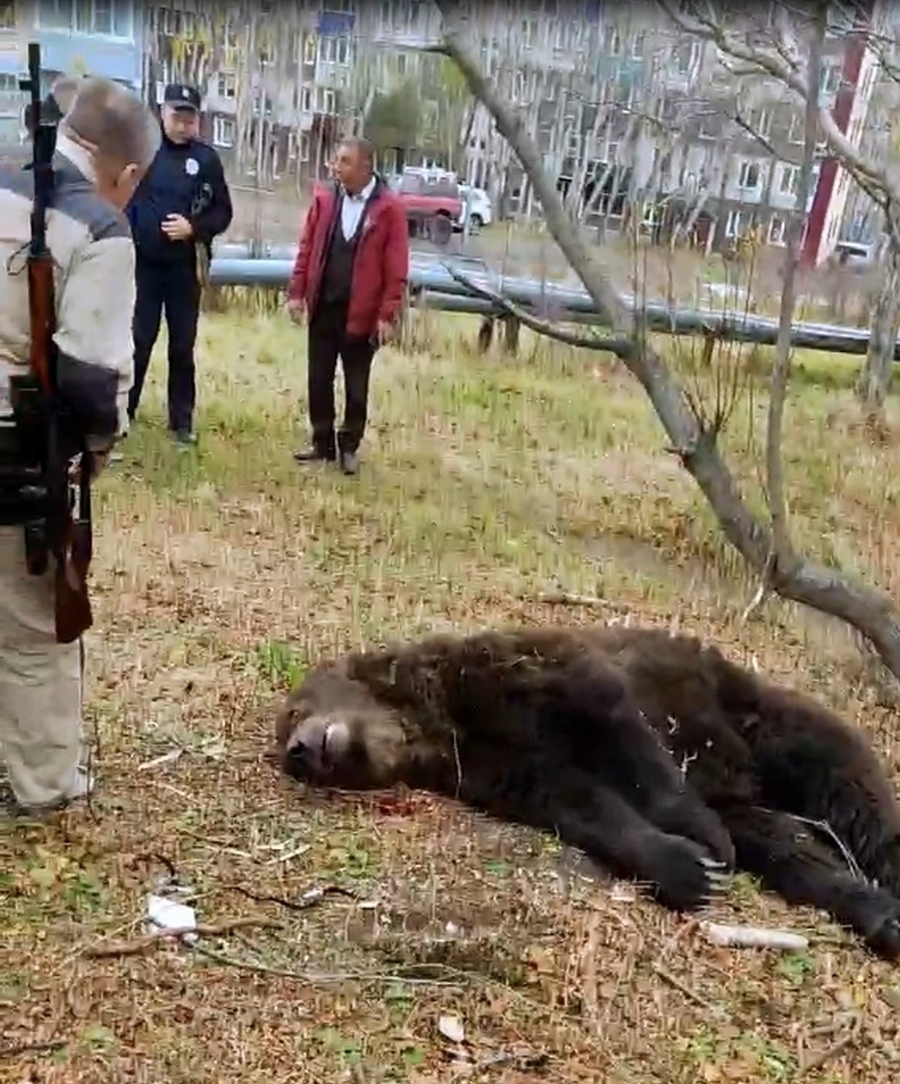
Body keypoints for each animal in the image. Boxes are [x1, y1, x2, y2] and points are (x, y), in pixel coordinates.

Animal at [273, 628, 900, 958]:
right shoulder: (486, 762)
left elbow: (609, 713)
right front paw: (685, 868)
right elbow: (576, 800)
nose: (299, 752)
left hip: (754, 714)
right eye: (287, 729)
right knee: (791, 852)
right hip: (746, 794)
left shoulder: (507, 673)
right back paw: (878, 914)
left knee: (849, 786)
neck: (433, 721)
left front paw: (702, 837)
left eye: (296, 709)